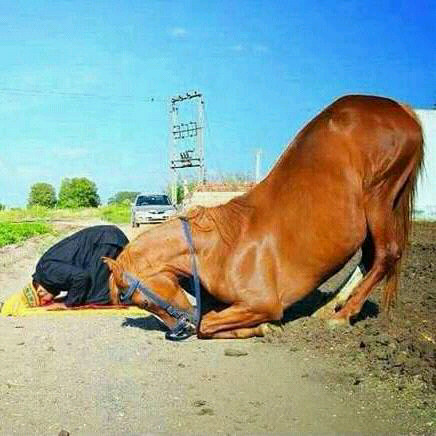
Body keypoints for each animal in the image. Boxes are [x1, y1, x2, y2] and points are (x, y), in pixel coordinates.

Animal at [104, 96, 424, 340]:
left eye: (144, 300)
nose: (179, 329)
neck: (219, 249)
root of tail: (401, 108)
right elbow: (210, 319)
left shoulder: (263, 303)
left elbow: (207, 324)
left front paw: (262, 328)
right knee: (370, 256)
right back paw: (330, 306)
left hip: (380, 198)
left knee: (386, 254)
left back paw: (342, 314)